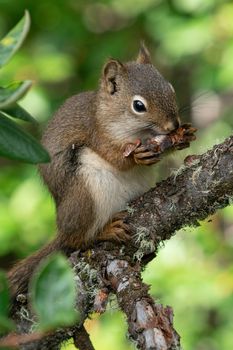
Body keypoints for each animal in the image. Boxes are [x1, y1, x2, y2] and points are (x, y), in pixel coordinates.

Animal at [7, 43, 195, 300]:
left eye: (170, 88)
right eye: (138, 106)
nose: (173, 125)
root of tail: (61, 228)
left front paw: (185, 136)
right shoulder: (98, 135)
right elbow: (117, 160)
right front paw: (137, 156)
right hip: (84, 193)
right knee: (77, 239)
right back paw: (105, 231)